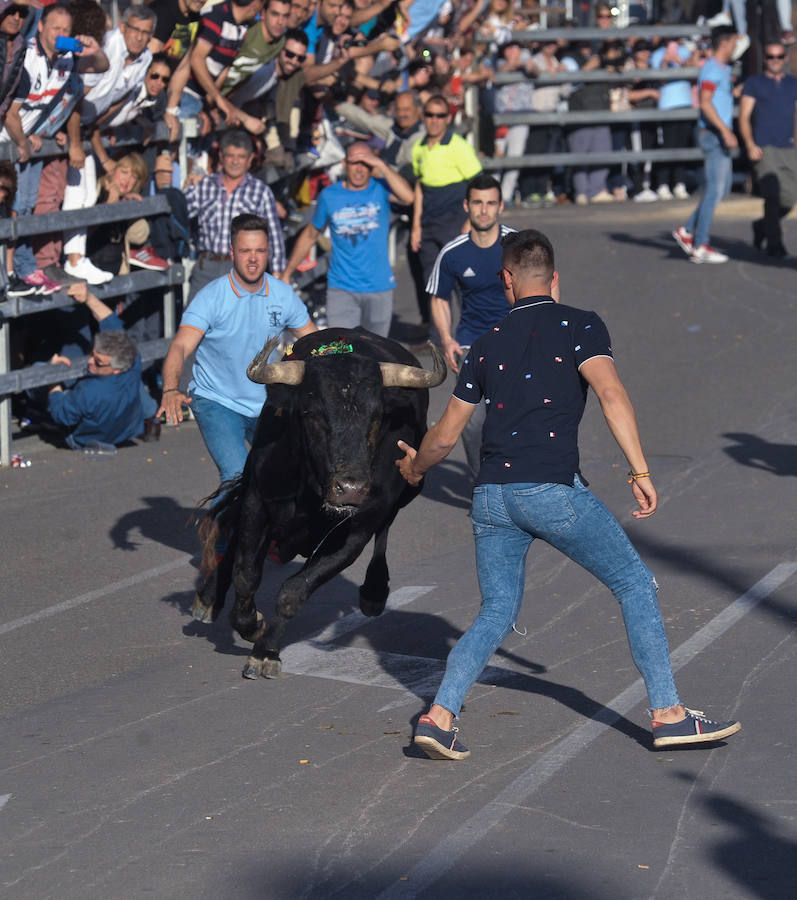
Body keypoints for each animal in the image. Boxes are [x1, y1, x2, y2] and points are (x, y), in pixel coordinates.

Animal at [190, 326, 444, 680]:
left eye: (377, 416)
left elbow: (294, 591)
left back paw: (374, 592)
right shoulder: (258, 501)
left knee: (386, 530)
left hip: (407, 493)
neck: (311, 491)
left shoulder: (355, 533)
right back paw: (208, 598)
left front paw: (265, 652)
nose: (351, 488)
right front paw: (250, 624)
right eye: (311, 414)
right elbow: (246, 573)